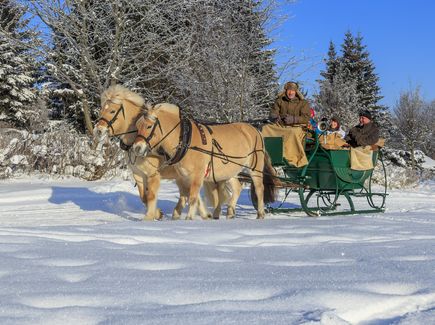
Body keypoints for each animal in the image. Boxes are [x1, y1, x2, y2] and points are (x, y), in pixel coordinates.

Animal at [132, 105, 276, 219]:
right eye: (137, 126)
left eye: (149, 126)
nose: (136, 148)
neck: (185, 139)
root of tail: (255, 129)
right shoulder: (184, 176)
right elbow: (190, 196)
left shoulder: (197, 175)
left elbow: (193, 197)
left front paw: (189, 218)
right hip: (230, 170)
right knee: (237, 187)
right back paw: (229, 212)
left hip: (255, 167)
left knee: (259, 188)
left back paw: (260, 214)